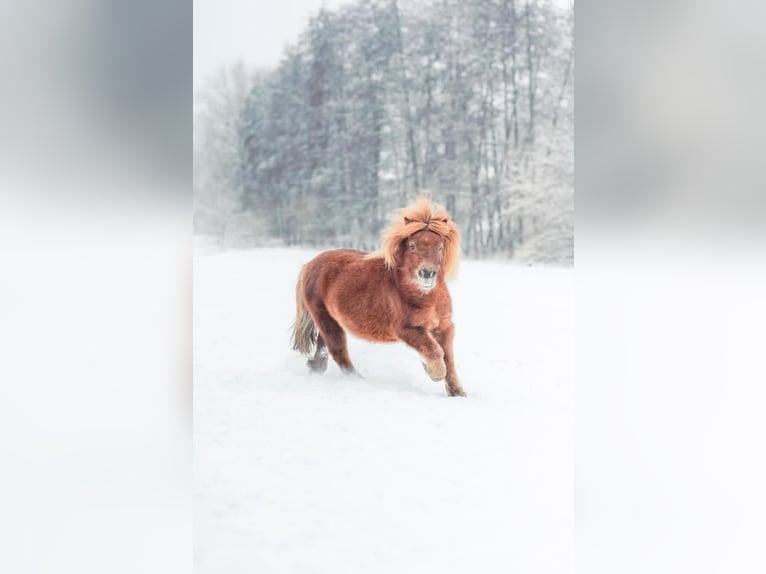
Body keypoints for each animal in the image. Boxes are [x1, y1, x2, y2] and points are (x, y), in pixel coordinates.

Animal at [290, 196, 464, 398]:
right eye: (412, 246)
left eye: (440, 247)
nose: (427, 273)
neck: (426, 297)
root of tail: (309, 265)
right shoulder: (407, 329)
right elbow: (435, 351)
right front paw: (434, 372)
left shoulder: (444, 327)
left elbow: (449, 359)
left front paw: (457, 393)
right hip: (327, 321)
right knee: (339, 353)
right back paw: (360, 381)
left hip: (330, 322)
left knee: (323, 352)